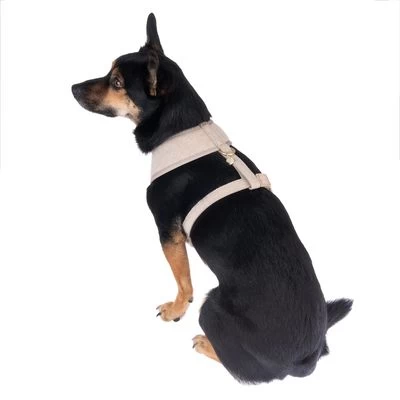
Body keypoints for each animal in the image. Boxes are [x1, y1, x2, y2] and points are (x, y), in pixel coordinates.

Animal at [72, 13, 353, 384]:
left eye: (116, 82)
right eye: (109, 73)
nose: (73, 88)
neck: (182, 129)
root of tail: (308, 358)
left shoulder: (168, 232)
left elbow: (183, 280)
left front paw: (176, 309)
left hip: (212, 306)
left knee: (244, 368)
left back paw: (206, 343)